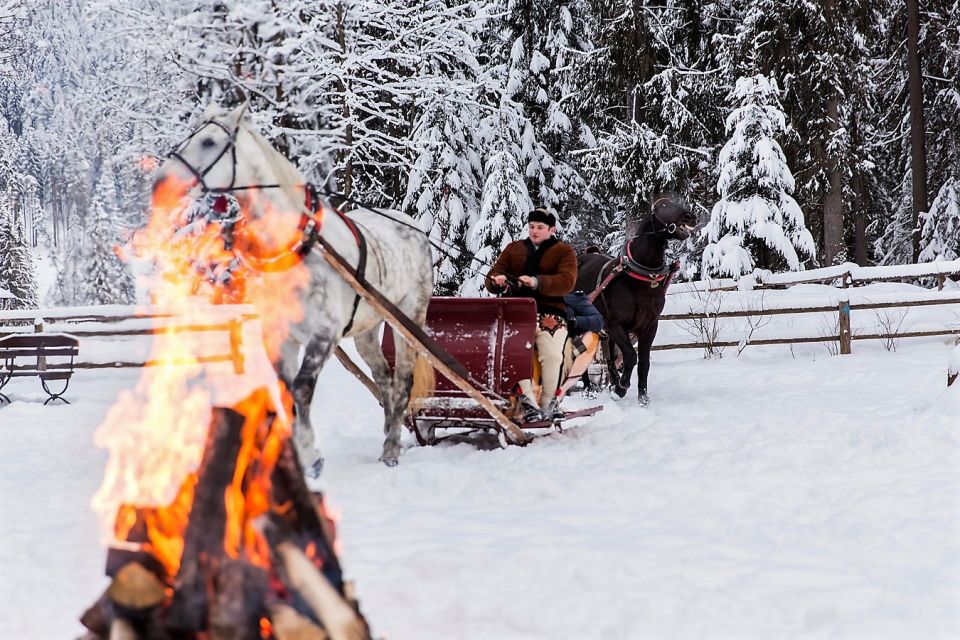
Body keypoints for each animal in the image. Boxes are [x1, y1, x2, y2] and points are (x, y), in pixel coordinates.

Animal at [153, 104, 436, 470]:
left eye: (209, 141)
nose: (161, 183)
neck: (298, 245)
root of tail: (415, 228)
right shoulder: (281, 333)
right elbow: (285, 391)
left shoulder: (325, 332)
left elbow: (302, 388)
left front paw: (309, 452)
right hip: (366, 330)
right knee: (384, 377)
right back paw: (390, 433)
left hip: (407, 322)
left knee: (402, 381)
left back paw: (390, 451)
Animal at [572, 198, 692, 402]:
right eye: (662, 206)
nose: (689, 216)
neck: (641, 277)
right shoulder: (616, 325)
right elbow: (630, 356)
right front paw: (621, 389)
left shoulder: (649, 326)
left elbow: (643, 362)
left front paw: (642, 398)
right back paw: (588, 389)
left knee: (609, 357)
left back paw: (610, 382)